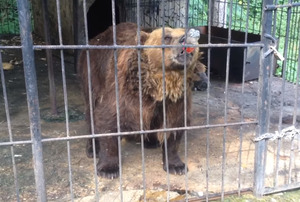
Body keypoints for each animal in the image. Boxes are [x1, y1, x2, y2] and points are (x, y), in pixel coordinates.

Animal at [78, 22, 203, 179]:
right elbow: (108, 120)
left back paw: (151, 142)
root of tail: (96, 38)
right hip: (92, 75)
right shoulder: (122, 92)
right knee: (90, 110)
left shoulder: (175, 100)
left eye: (188, 33)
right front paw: (108, 169)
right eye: (166, 37)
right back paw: (92, 148)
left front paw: (176, 165)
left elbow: (174, 126)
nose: (184, 39)